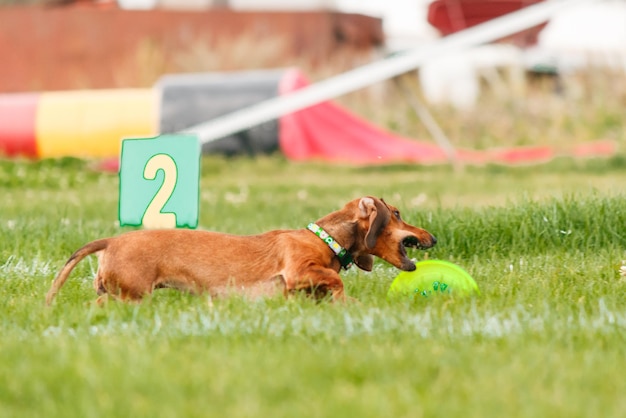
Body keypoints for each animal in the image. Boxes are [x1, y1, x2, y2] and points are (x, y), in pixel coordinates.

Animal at [45, 196, 434, 304]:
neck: (325, 238)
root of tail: (111, 241)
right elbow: (335, 282)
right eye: (397, 213)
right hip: (132, 296)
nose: (431, 237)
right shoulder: (297, 271)